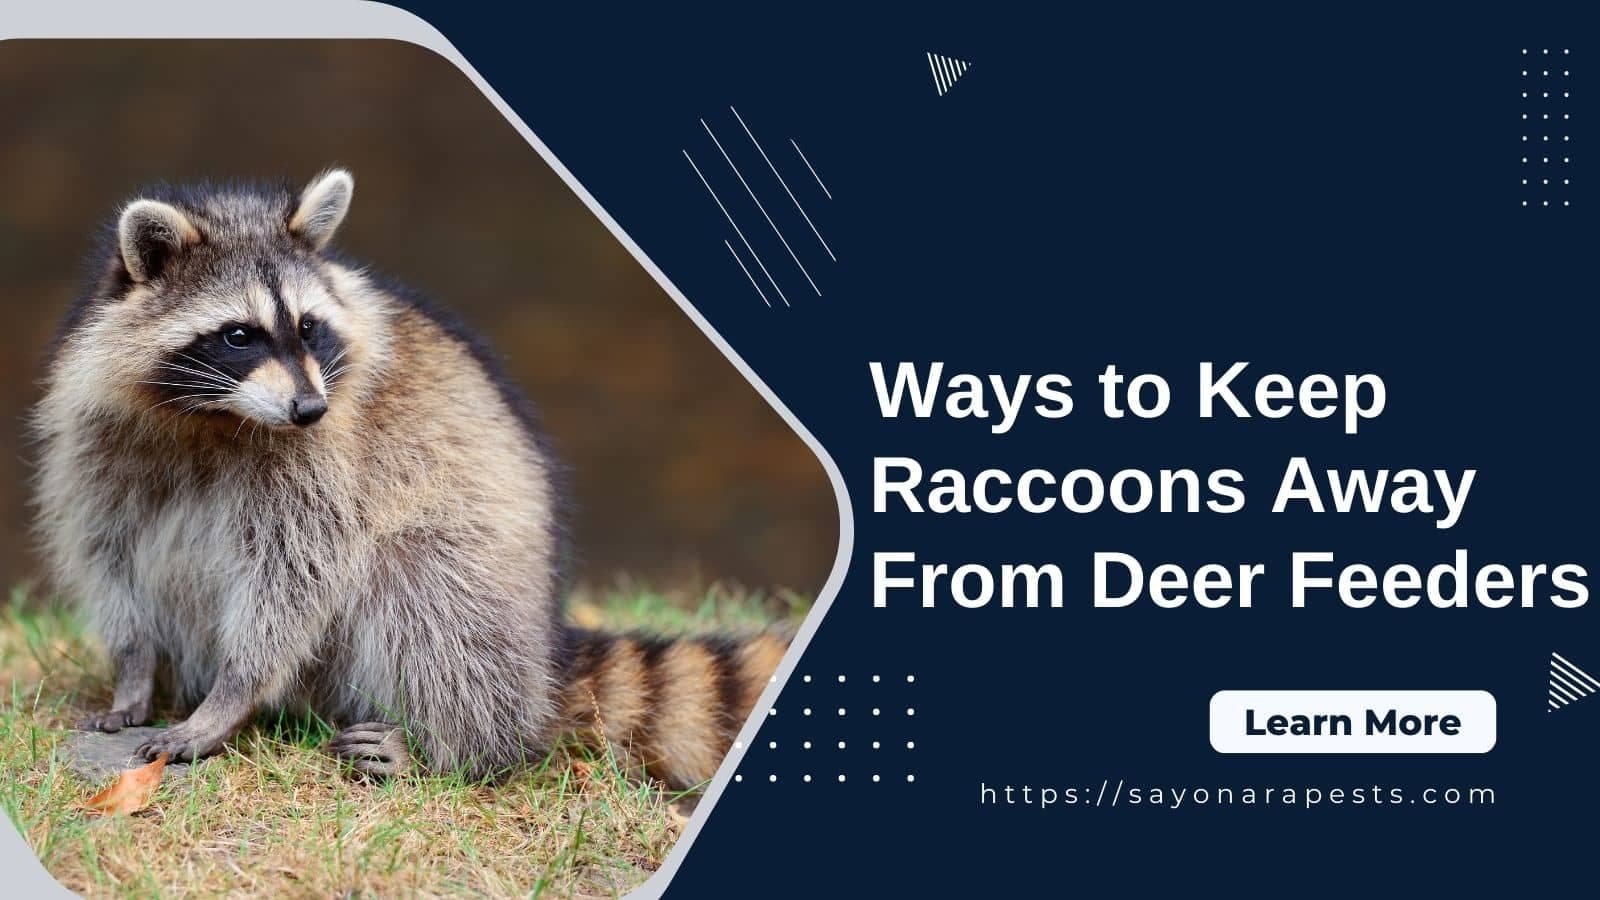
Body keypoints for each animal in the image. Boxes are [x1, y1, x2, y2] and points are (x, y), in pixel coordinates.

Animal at [31, 169, 786, 787]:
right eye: (238, 334)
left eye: (309, 326)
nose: (309, 408)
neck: (213, 416)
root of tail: (546, 655)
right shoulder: (98, 439)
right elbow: (109, 552)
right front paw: (133, 671)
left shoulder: (326, 461)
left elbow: (295, 577)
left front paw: (231, 696)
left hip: (481, 581)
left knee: (423, 592)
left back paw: (454, 747)